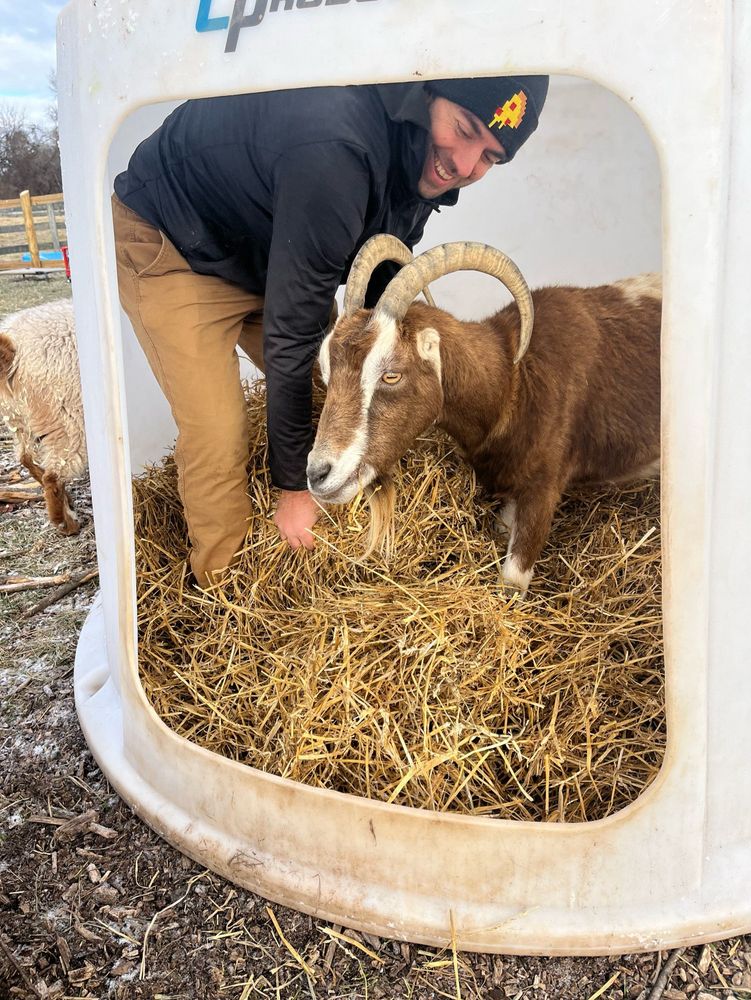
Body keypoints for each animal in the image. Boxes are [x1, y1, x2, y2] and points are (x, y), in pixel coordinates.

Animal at [0, 299, 86, 535]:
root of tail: (15, 352)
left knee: (25, 458)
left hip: (16, 419)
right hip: (69, 419)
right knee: (53, 475)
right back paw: (66, 523)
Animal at [307, 236, 661, 595]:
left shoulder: (543, 489)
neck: (513, 381)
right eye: (326, 370)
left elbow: (512, 582)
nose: (318, 474)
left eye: (391, 375)